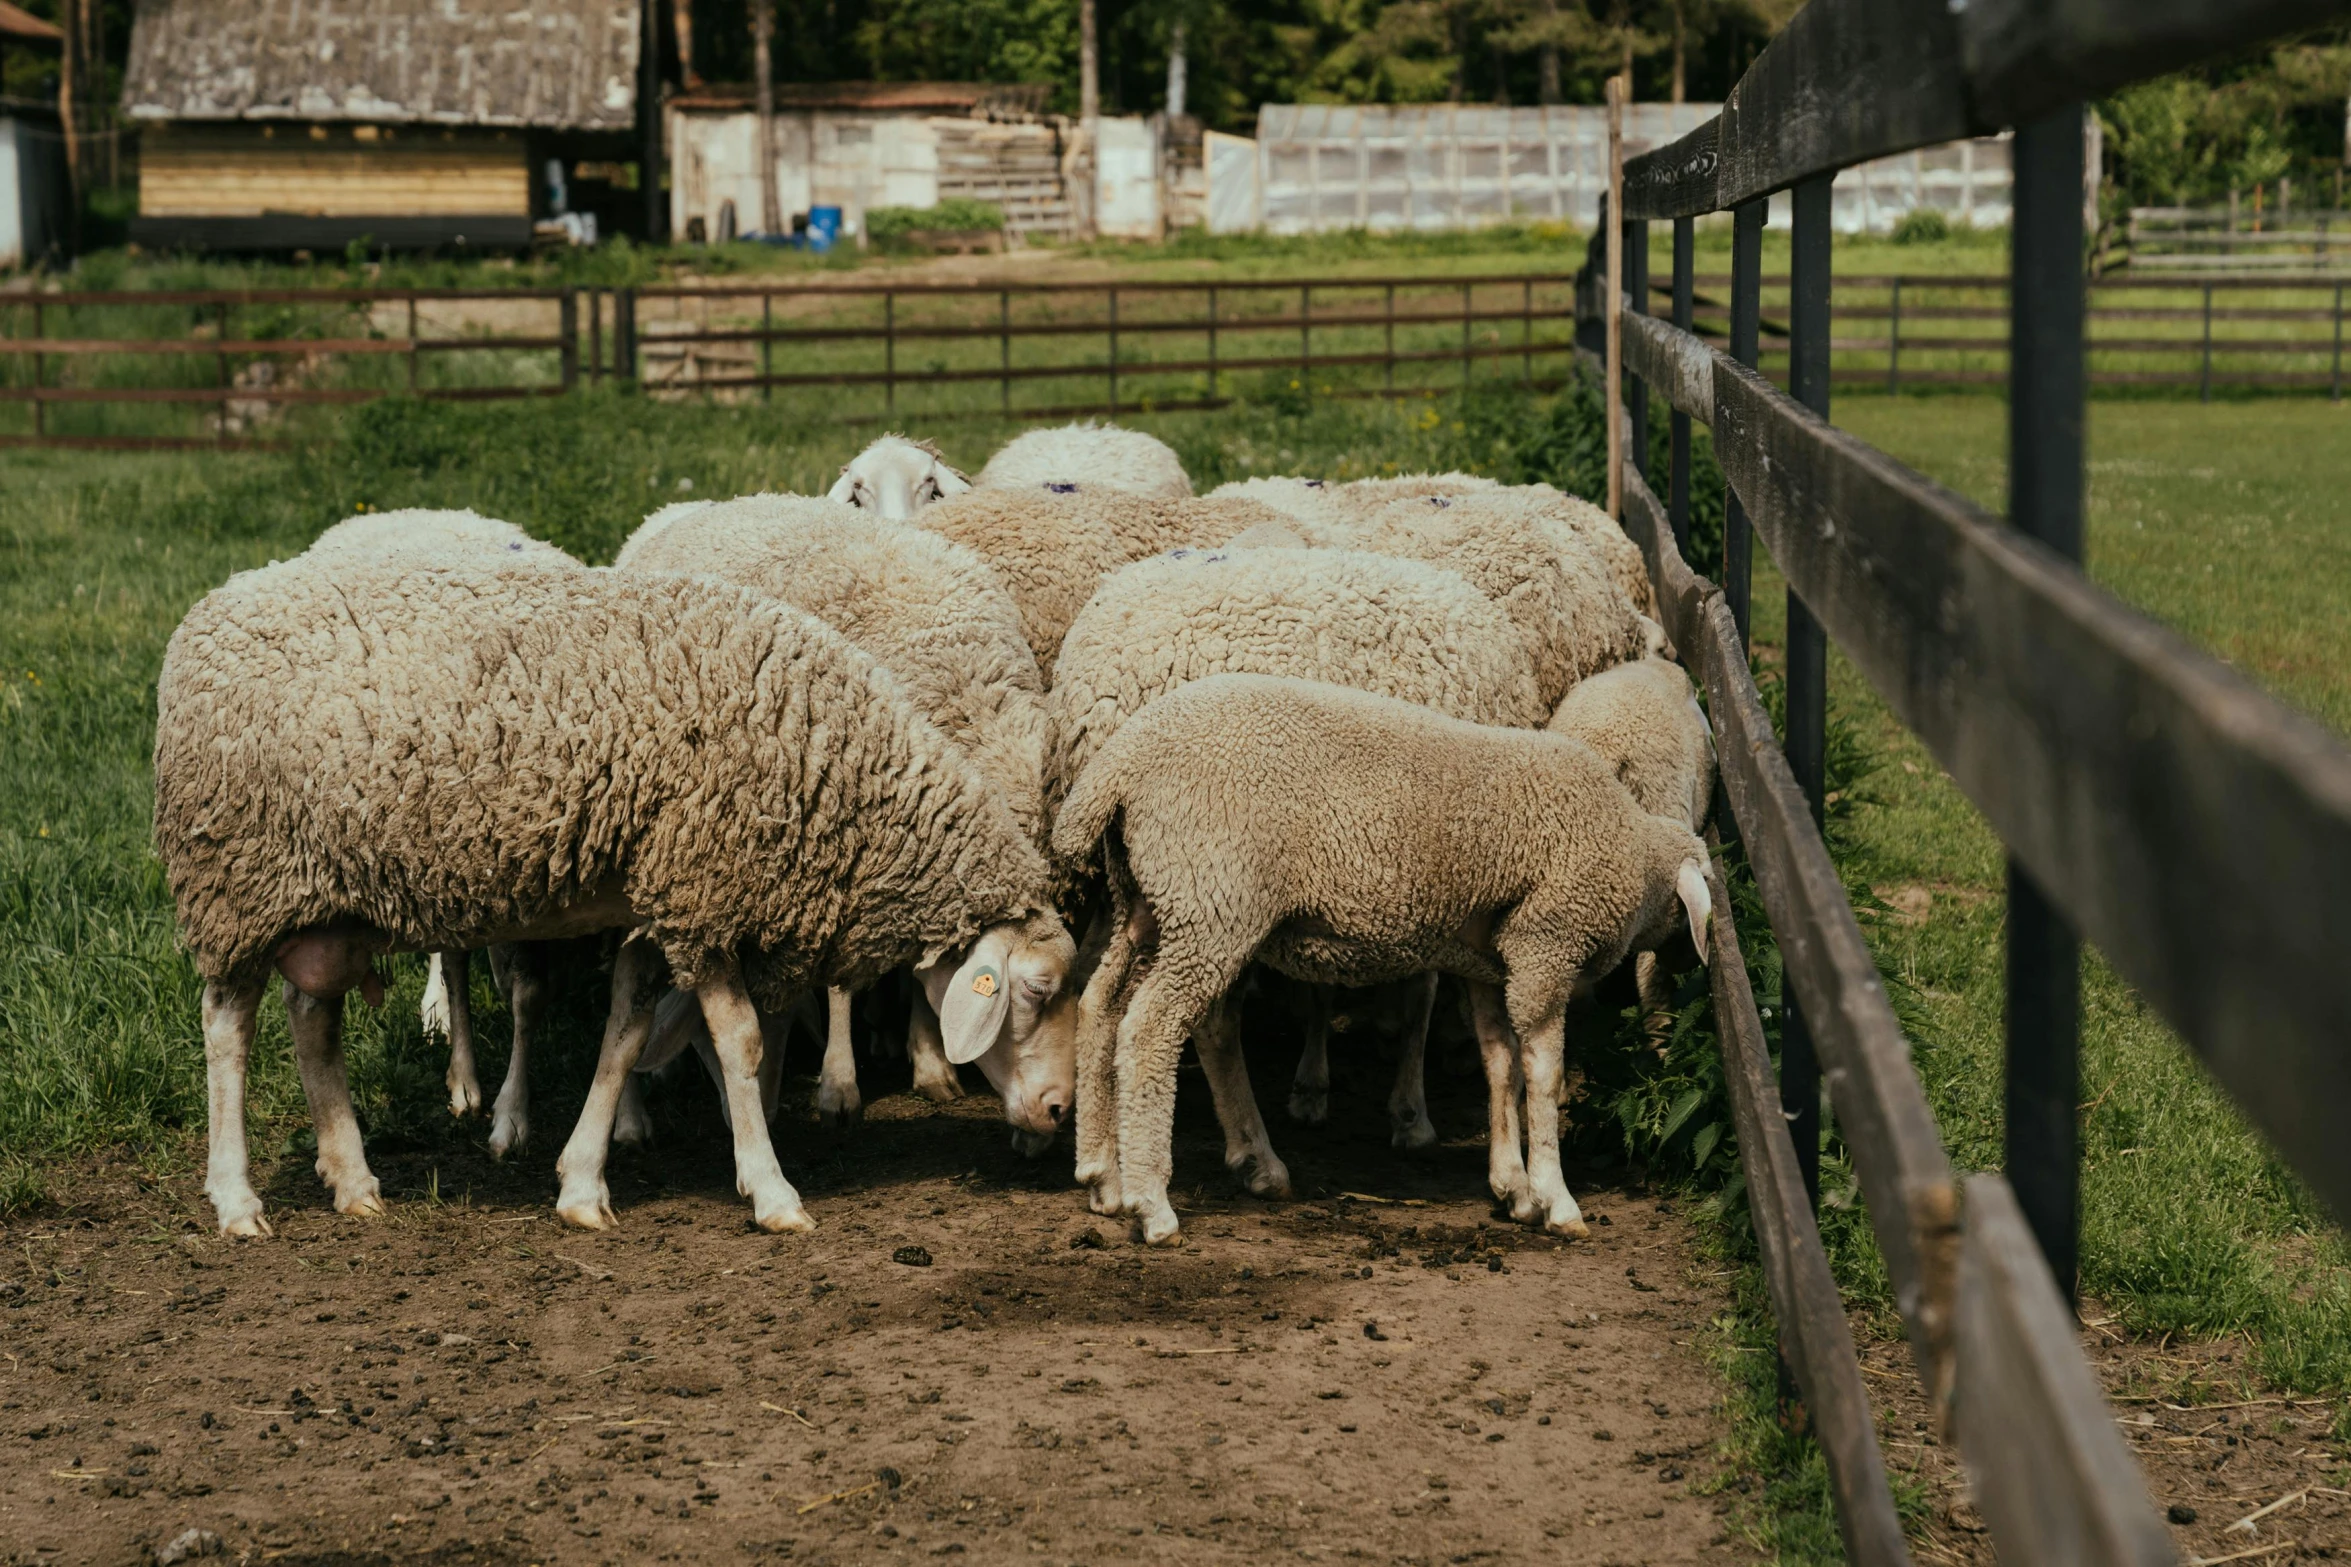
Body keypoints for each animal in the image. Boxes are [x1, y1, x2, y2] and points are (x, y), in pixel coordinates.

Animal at [163, 561, 1076, 1240]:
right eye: (1034, 989)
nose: (1060, 1109)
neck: (835, 765)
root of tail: (206, 610)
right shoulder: (704, 892)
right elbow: (741, 1043)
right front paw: (772, 1190)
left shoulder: (654, 900)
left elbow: (623, 1036)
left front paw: (580, 1184)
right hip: (236, 879)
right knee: (226, 1032)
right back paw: (236, 1200)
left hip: (315, 898)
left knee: (311, 1024)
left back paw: (353, 1180)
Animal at [1053, 676, 1711, 1249]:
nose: (1690, 969)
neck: (1634, 852)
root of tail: (1118, 767)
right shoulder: (1545, 946)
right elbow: (1543, 1074)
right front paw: (1558, 1199)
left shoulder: (1492, 963)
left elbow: (1502, 1066)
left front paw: (1513, 1188)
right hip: (1209, 897)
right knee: (1150, 1031)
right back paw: (1152, 1205)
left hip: (1152, 900)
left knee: (1103, 1006)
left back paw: (1103, 1178)